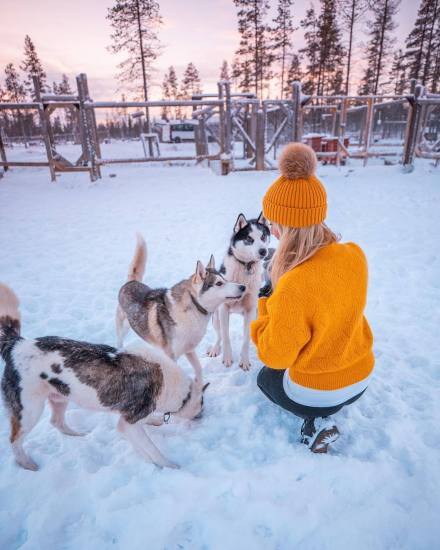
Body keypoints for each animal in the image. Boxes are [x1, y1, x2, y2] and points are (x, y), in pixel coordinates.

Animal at [0, 286, 208, 472]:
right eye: (202, 403)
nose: (203, 416)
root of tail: (16, 344)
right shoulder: (128, 424)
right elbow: (152, 450)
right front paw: (170, 466)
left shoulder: (130, 421)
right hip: (29, 410)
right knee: (15, 440)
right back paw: (28, 464)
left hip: (60, 397)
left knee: (56, 422)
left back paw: (77, 435)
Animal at [115, 236, 246, 384]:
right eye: (219, 283)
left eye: (225, 279)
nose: (243, 287)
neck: (194, 306)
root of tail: (131, 282)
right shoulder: (172, 357)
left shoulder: (189, 349)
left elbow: (199, 369)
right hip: (123, 328)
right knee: (119, 340)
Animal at [207, 213, 272, 374]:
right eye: (249, 239)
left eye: (263, 236)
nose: (263, 251)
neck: (246, 266)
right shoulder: (223, 309)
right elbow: (225, 336)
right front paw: (227, 358)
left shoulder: (250, 311)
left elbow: (245, 339)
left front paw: (245, 361)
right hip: (216, 317)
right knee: (219, 335)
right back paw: (215, 349)